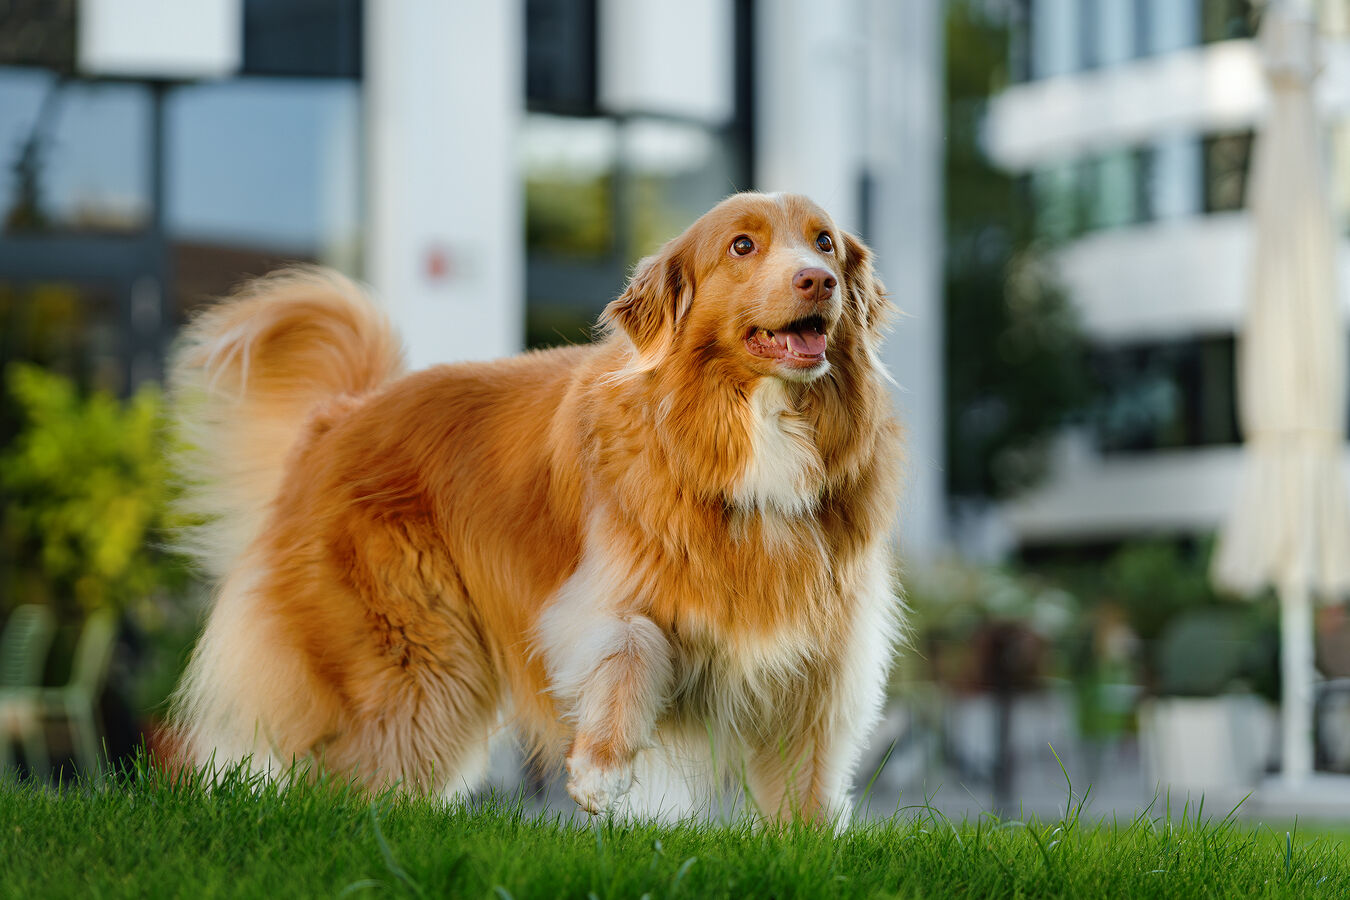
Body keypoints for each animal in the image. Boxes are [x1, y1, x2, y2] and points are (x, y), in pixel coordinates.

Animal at [171, 191, 907, 825]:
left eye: (825, 241)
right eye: (742, 245)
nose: (818, 281)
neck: (750, 429)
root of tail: (340, 416)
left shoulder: (824, 654)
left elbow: (806, 783)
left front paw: (806, 848)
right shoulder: (595, 594)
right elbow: (632, 647)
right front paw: (600, 769)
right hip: (417, 659)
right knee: (352, 776)